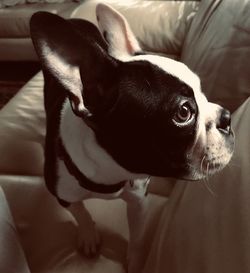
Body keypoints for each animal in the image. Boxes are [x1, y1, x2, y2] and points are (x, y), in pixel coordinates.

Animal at [30, 3, 235, 270]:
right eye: (183, 112)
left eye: (203, 92)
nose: (227, 118)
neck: (111, 172)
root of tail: (75, 20)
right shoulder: (63, 194)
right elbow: (81, 213)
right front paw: (88, 235)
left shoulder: (139, 200)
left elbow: (137, 238)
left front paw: (135, 261)